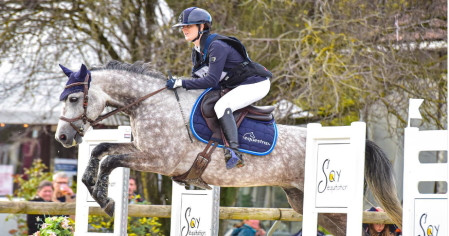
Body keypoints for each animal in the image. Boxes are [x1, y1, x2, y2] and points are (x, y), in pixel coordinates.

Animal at [55, 60, 402, 234]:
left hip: (331, 206)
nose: (62, 138)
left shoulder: (158, 160)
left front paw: (106, 200)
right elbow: (101, 150)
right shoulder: (143, 153)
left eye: (73, 98)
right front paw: (92, 187)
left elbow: (110, 160)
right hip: (306, 203)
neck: (150, 104)